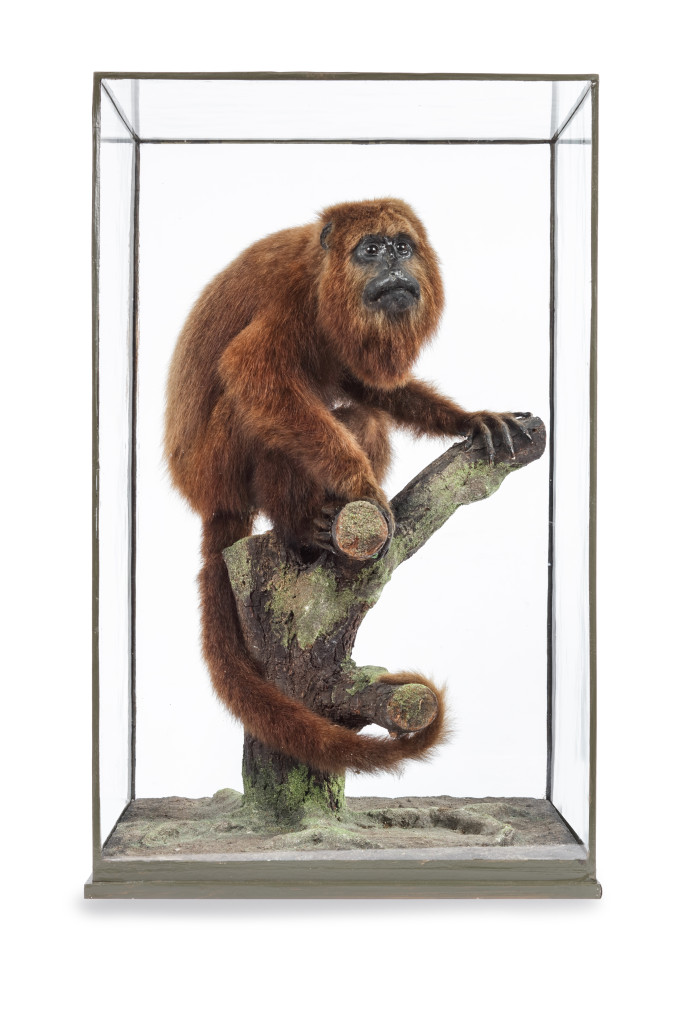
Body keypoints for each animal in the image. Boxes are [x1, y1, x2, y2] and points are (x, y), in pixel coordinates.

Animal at [164, 198, 530, 775]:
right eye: (371, 249)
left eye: (402, 246)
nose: (395, 266)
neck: (323, 275)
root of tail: (210, 501)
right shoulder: (291, 299)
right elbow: (252, 373)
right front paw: (362, 484)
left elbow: (368, 385)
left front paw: (470, 419)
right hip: (217, 467)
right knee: (254, 402)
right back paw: (297, 528)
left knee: (365, 414)